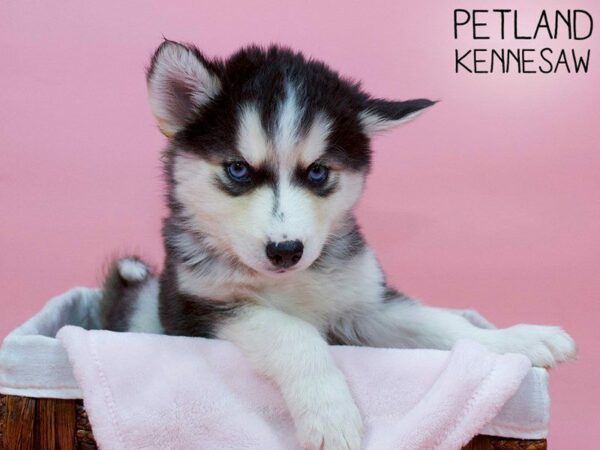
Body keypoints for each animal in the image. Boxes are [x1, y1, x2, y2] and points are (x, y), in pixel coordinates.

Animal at [102, 41, 576, 450]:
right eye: (237, 169)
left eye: (317, 172)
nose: (286, 250)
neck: (289, 282)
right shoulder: (197, 306)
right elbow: (292, 333)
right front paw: (330, 415)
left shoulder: (367, 304)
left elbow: (442, 323)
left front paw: (518, 339)